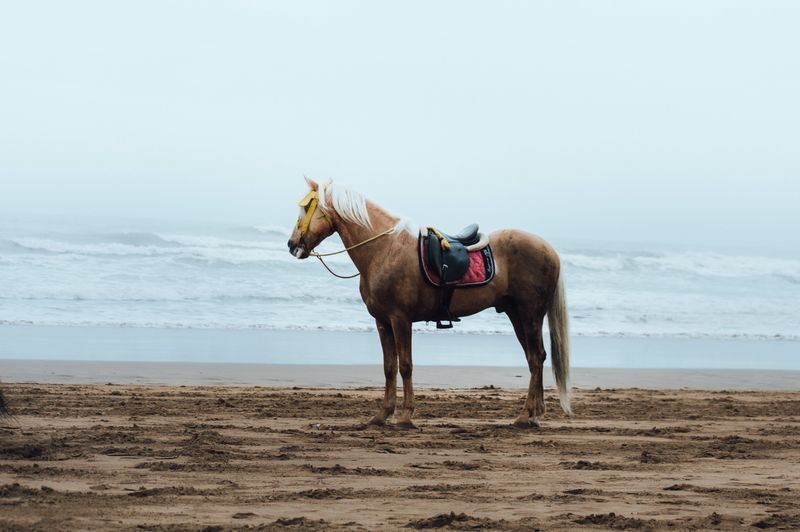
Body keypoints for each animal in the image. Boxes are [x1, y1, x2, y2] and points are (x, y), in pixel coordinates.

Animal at [287, 178, 571, 428]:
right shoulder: (382, 322)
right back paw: (534, 415)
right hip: (516, 314)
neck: (384, 249)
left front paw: (405, 416)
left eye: (306, 208)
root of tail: (549, 249)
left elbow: (406, 366)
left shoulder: (400, 319)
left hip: (530, 314)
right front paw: (382, 415)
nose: (292, 245)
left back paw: (525, 416)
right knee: (535, 359)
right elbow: (389, 367)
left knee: (536, 357)